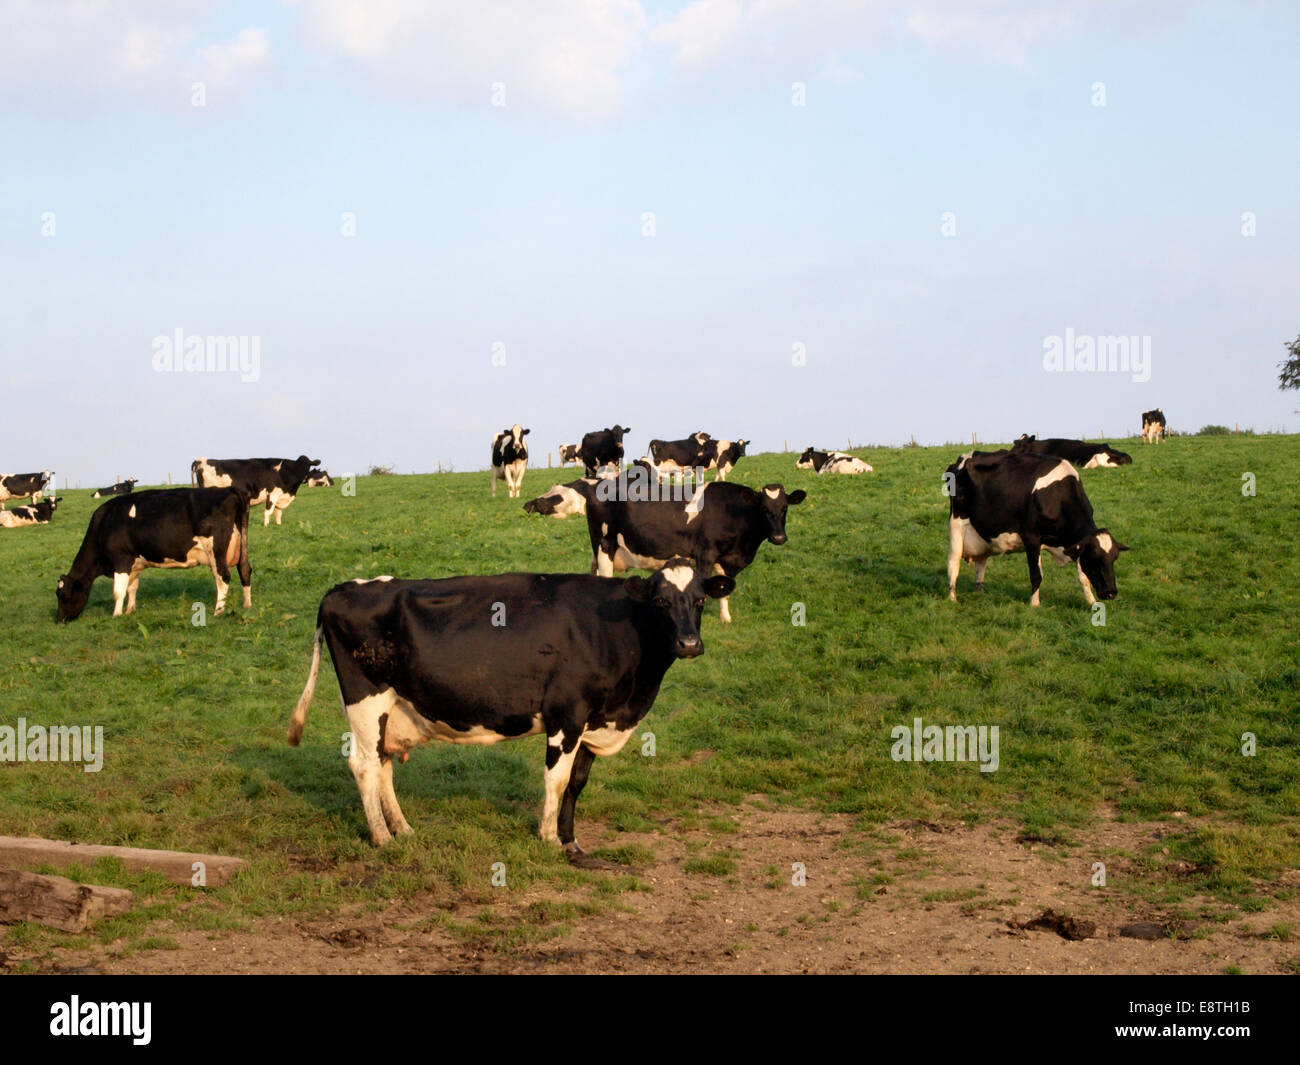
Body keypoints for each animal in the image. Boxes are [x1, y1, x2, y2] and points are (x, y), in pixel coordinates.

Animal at [55, 487, 251, 621]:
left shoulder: (121, 559)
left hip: (216, 551)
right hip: (241, 546)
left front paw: (116, 614)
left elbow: (118, 591)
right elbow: (132, 587)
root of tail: (229, 490)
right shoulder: (134, 563)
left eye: (64, 596)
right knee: (245, 570)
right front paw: (130, 610)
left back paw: (218, 611)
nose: (59, 620)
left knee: (223, 577)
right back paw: (246, 604)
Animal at [192, 455, 321, 526]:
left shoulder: (280, 497)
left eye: (308, 466)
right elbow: (268, 511)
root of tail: (201, 460)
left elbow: (278, 513)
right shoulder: (272, 494)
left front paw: (278, 524)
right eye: (298, 466)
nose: (304, 477)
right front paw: (266, 525)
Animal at [286, 562, 735, 860]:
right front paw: (549, 838)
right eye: (660, 601)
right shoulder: (567, 714)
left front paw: (571, 840)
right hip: (366, 701)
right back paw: (382, 837)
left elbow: (577, 783)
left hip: (390, 709)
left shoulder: (595, 720)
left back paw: (403, 829)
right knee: (363, 766)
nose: (689, 644)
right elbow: (556, 780)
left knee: (381, 765)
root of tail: (343, 588)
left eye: (699, 600)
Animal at [583, 479, 806, 623]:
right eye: (763, 508)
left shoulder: (727, 561)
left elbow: (725, 590)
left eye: (785, 507)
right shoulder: (705, 554)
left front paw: (726, 618)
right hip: (604, 546)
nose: (779, 537)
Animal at [946, 449, 1127, 607]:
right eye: (1095, 557)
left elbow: (1083, 577)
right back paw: (952, 598)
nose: (1111, 592)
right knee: (953, 563)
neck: (1057, 496)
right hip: (956, 525)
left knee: (980, 564)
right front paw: (1034, 604)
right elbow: (1036, 575)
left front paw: (1091, 602)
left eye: (1114, 558)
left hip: (983, 534)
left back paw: (980, 591)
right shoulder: (1031, 537)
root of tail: (968, 456)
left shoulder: (1075, 544)